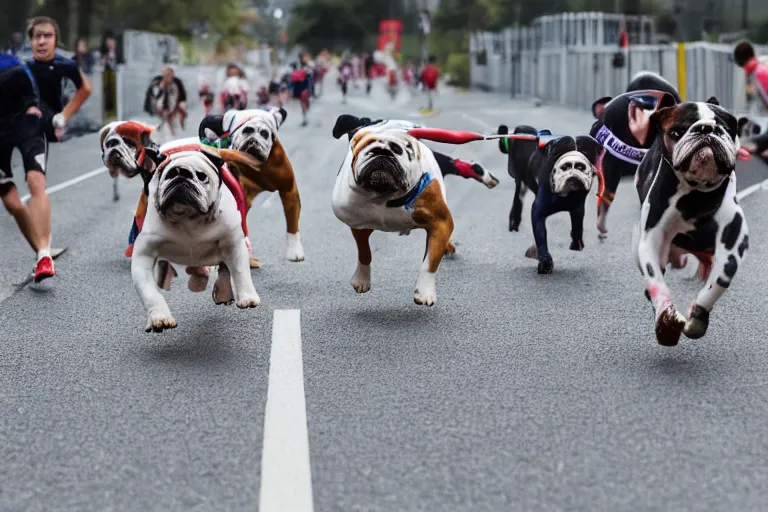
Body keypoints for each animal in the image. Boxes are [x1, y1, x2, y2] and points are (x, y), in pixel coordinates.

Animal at [500, 131, 604, 276]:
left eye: (586, 152)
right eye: (557, 153)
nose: (574, 160)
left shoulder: (578, 207)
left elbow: (577, 227)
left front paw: (576, 243)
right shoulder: (538, 212)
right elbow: (541, 239)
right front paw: (545, 261)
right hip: (520, 181)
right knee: (518, 197)